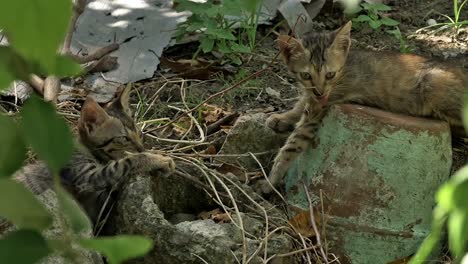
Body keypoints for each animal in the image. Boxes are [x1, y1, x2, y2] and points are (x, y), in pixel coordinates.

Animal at [15, 86, 176, 223]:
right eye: (124, 138)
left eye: (140, 133)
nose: (141, 148)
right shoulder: (88, 179)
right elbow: (127, 162)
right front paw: (159, 159)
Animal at [260, 21, 468, 194]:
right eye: (306, 75)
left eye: (330, 74)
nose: (320, 91)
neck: (344, 69)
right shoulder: (312, 97)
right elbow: (300, 104)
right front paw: (281, 118)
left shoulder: (319, 109)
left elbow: (291, 145)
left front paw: (270, 180)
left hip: (433, 84)